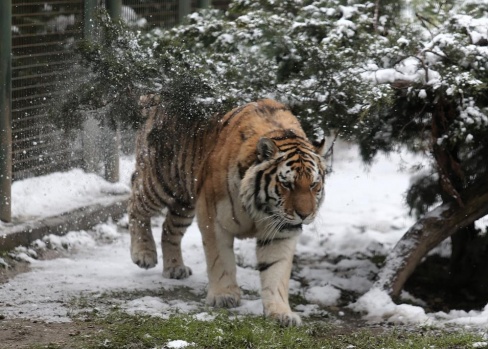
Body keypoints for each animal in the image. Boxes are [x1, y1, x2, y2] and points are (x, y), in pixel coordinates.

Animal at [129, 96, 328, 324]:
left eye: (313, 184)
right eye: (287, 184)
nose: (304, 215)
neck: (261, 207)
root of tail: (159, 99)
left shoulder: (281, 231)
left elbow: (276, 271)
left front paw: (281, 313)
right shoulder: (213, 217)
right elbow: (220, 260)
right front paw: (224, 296)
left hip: (185, 202)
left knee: (168, 229)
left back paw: (174, 268)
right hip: (160, 181)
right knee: (135, 203)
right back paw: (143, 254)